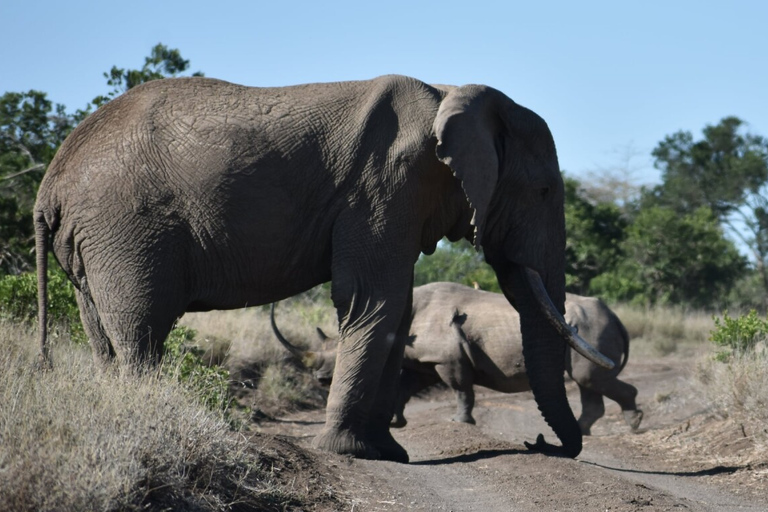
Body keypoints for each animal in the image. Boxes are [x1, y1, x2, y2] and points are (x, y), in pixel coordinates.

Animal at [272, 284, 644, 436]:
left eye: (338, 356)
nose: (321, 380)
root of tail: (616, 316)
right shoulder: (425, 360)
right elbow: (405, 388)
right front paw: (396, 423)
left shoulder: (447, 358)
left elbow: (462, 389)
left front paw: (460, 422)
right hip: (589, 328)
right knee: (588, 383)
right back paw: (582, 432)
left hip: (591, 328)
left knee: (590, 379)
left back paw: (632, 424)